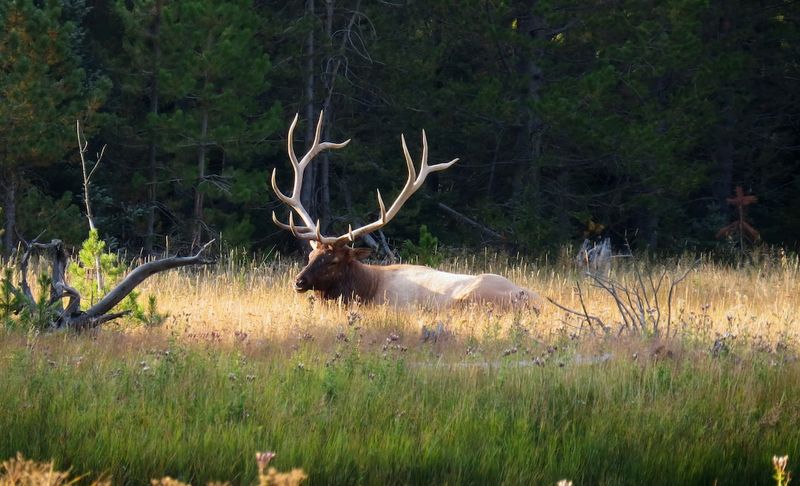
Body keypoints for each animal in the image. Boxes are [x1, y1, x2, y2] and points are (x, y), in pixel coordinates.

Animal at [270, 112, 544, 314]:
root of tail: (538, 302)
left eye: (334, 260)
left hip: (470, 299)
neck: (367, 287)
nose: (299, 281)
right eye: (310, 255)